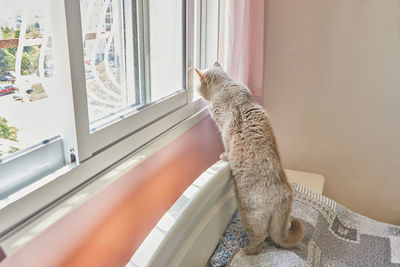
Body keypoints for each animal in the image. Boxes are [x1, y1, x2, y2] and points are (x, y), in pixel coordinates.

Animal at [195, 61, 304, 256]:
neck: (226, 86)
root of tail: (285, 196)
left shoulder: (224, 130)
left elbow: (225, 147)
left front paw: (223, 156)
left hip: (250, 216)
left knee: (259, 239)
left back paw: (246, 251)